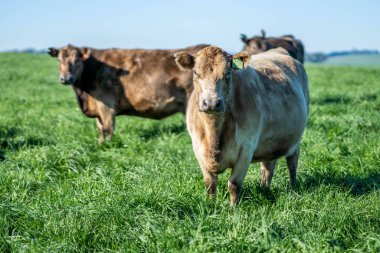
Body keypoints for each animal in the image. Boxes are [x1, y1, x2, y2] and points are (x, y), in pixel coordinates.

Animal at [48, 43, 208, 144]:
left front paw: (108, 146)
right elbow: (100, 129)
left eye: (77, 60)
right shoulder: (99, 109)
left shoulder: (107, 105)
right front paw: (100, 144)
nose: (65, 78)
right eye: (58, 60)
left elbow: (108, 129)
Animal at [175, 45, 308, 206]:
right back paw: (264, 189)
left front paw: (233, 208)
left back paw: (293, 188)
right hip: (270, 143)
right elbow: (210, 183)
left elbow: (234, 184)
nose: (211, 103)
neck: (214, 133)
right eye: (195, 72)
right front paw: (211, 205)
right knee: (268, 167)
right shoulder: (198, 148)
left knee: (292, 163)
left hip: (296, 141)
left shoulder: (246, 149)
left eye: (227, 73)